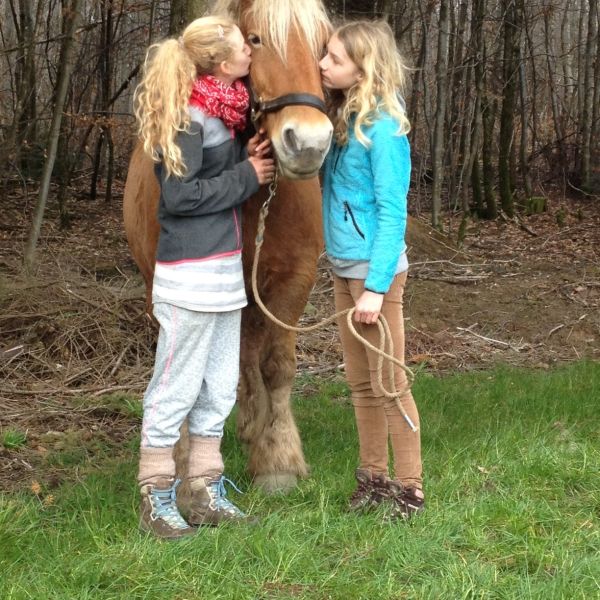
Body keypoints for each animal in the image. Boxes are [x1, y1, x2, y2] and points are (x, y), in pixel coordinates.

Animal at [122, 0, 332, 492]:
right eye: (255, 40)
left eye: (322, 45)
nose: (308, 144)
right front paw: (182, 464)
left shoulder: (294, 281)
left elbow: (276, 366)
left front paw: (277, 460)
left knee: (248, 357)